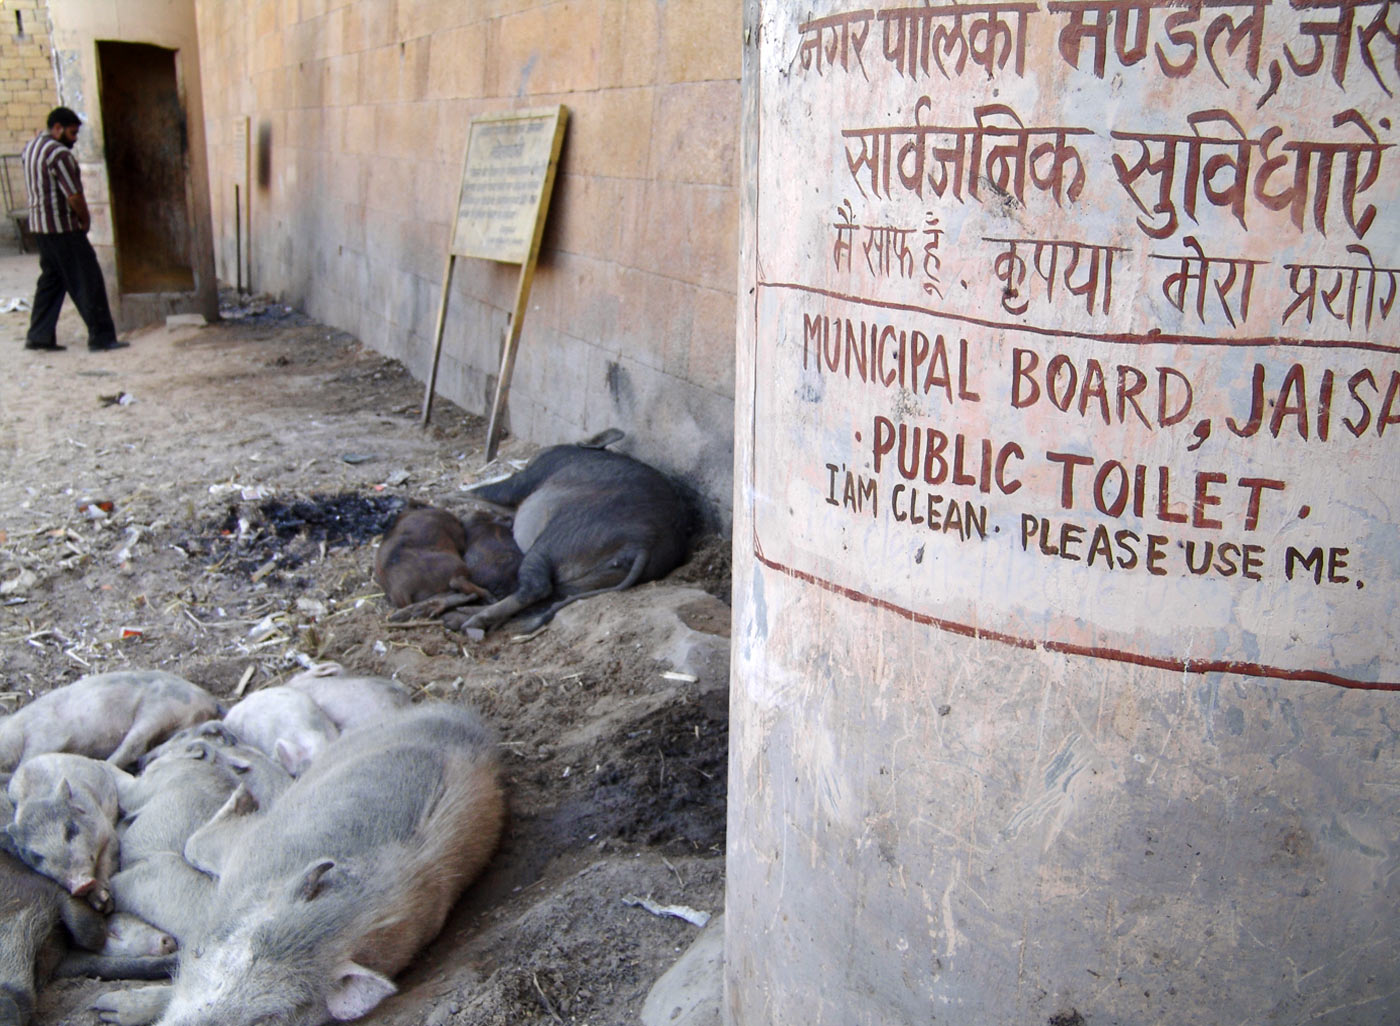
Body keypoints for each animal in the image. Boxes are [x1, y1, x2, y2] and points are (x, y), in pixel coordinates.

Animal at [442, 445, 694, 632]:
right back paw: (457, 619)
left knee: (537, 587)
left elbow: (487, 491)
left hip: (559, 538)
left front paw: (448, 496)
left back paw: (469, 621)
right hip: (594, 579)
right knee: (551, 596)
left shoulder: (530, 476)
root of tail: (643, 543)